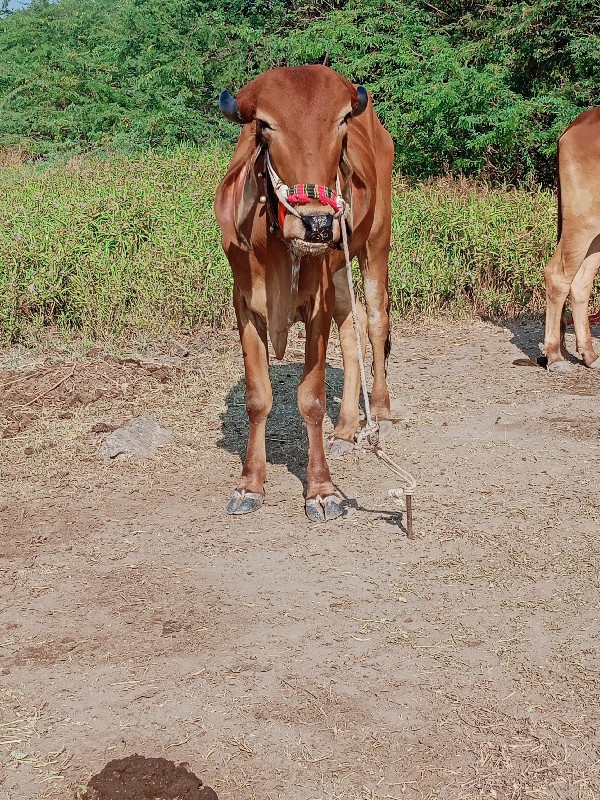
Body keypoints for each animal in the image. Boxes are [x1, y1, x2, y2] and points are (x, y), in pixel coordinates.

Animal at [214, 65, 394, 520]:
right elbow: (258, 397)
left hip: (375, 243)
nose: (318, 224)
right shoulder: (245, 305)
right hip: (340, 271)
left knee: (376, 321)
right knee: (350, 332)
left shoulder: (317, 304)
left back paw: (380, 411)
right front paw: (250, 484)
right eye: (265, 125)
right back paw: (345, 431)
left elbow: (311, 398)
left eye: (342, 121)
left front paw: (321, 490)